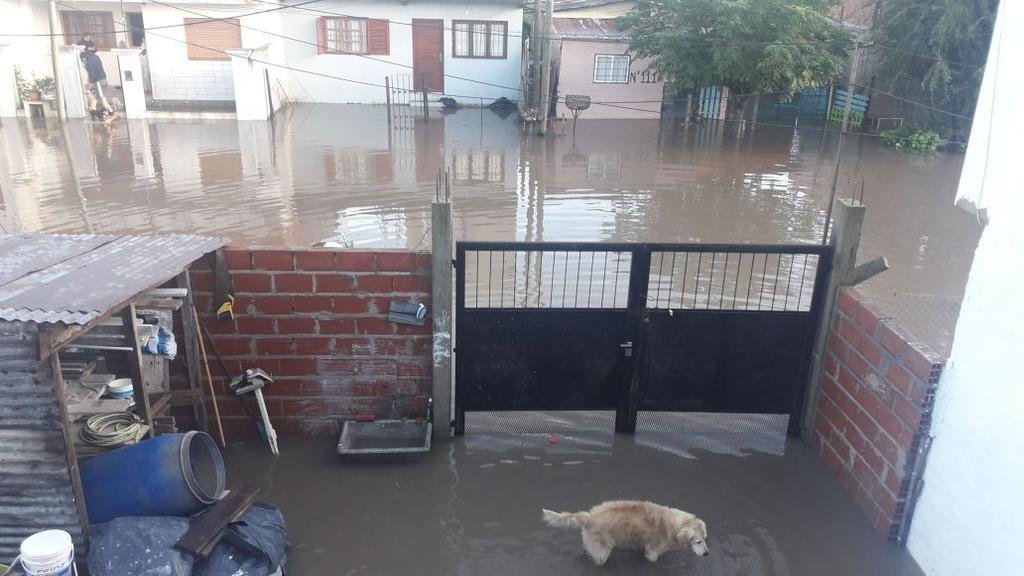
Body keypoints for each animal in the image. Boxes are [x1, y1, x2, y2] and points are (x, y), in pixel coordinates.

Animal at [544, 500, 712, 561]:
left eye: (705, 539)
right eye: (698, 541)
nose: (706, 554)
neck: (671, 523)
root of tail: (588, 516)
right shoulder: (652, 552)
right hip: (603, 549)